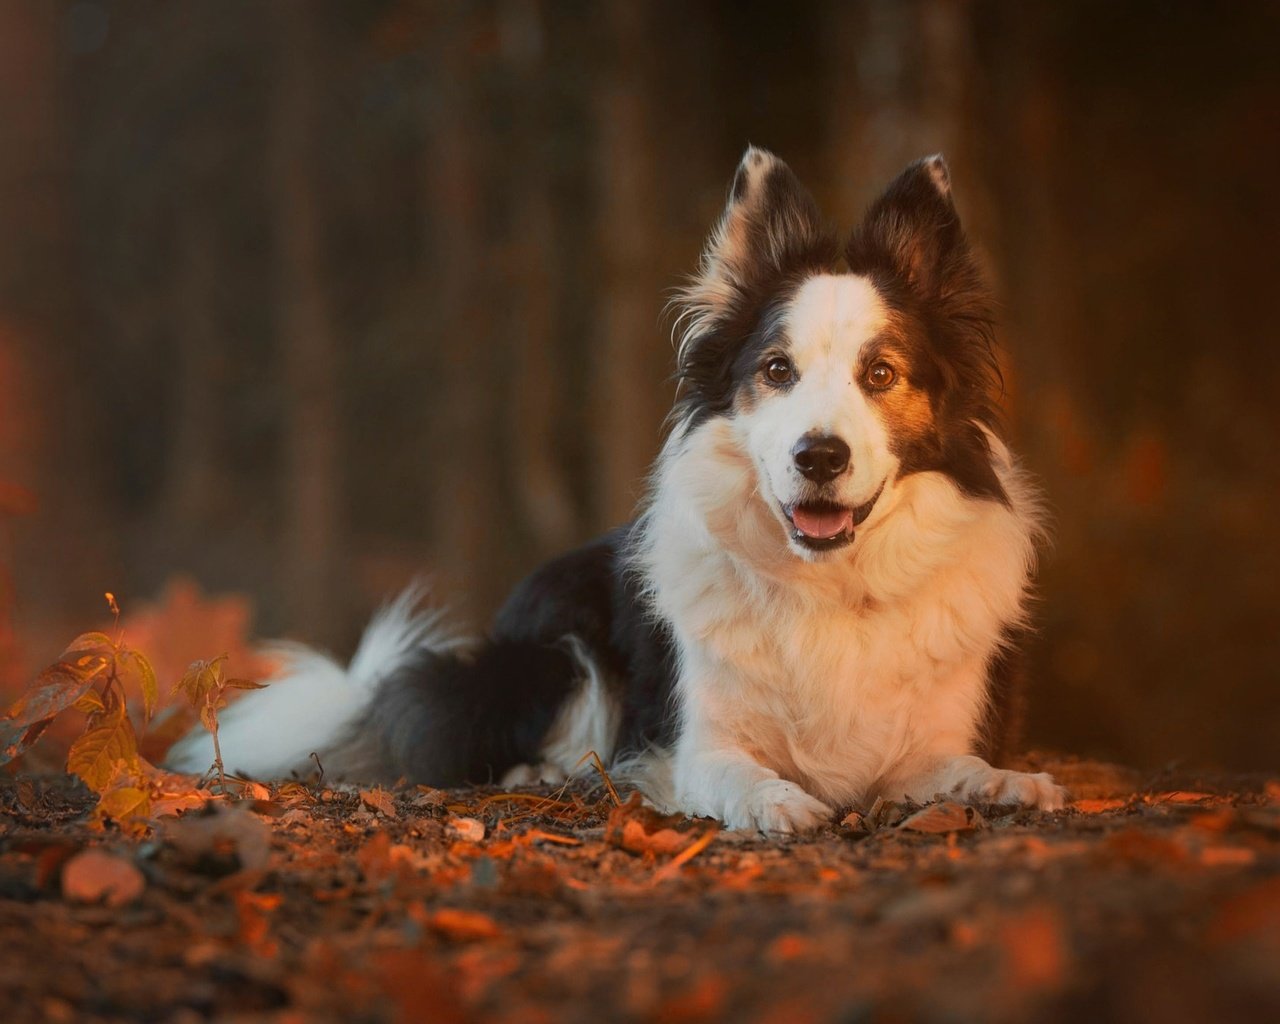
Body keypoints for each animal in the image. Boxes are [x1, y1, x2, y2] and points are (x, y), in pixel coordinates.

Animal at [172, 149, 1070, 829]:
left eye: (880, 374)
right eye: (778, 370)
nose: (819, 456)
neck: (829, 585)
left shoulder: (930, 735)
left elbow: (953, 765)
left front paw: (1008, 783)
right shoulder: (694, 740)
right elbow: (733, 773)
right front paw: (778, 801)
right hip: (558, 647)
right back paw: (545, 772)